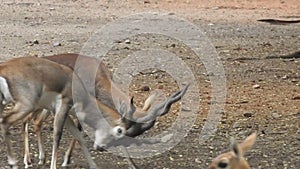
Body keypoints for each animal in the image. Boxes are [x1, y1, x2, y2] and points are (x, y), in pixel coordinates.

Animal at [14, 53, 189, 168]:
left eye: (127, 138)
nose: (101, 147)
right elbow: (78, 130)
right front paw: (66, 160)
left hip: (44, 107)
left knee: (35, 122)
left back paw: (40, 158)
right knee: (26, 121)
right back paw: (27, 160)